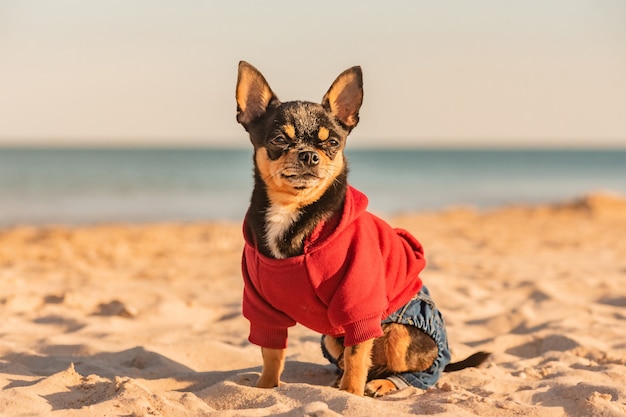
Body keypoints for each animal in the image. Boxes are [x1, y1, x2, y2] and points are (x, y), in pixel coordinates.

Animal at [234, 60, 488, 394]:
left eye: (332, 143)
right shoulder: (263, 309)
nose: (309, 155)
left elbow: (357, 356)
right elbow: (272, 353)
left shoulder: (359, 305)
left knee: (410, 371)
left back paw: (381, 383)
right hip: (330, 337)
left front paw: (351, 395)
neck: (293, 212)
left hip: (400, 333)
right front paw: (264, 388)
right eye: (279, 140)